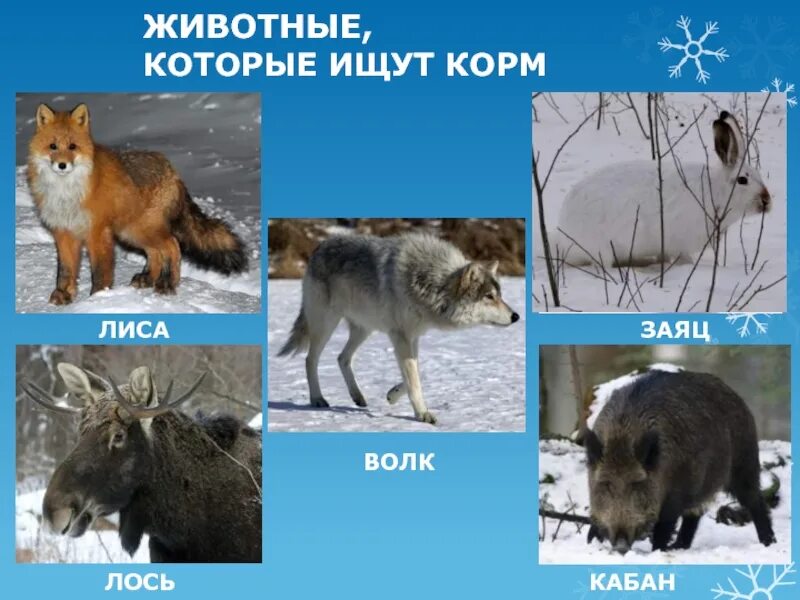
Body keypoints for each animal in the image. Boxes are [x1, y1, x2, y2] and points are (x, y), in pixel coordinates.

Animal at [27, 103, 248, 305]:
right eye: (53, 146)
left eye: (72, 147)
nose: (62, 165)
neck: (66, 192)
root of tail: (172, 169)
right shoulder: (64, 232)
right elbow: (65, 270)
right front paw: (63, 294)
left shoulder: (97, 232)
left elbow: (100, 271)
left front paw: (98, 298)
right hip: (132, 232)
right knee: (156, 253)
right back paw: (148, 279)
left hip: (142, 229)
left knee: (172, 245)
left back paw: (168, 284)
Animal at [278, 232, 520, 424]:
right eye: (489, 297)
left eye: (500, 295)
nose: (516, 316)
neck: (429, 282)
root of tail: (320, 246)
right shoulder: (400, 336)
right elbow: (414, 380)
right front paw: (422, 414)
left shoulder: (413, 337)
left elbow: (413, 375)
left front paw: (392, 395)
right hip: (326, 325)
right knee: (310, 360)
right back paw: (317, 399)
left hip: (364, 329)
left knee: (342, 358)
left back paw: (358, 397)